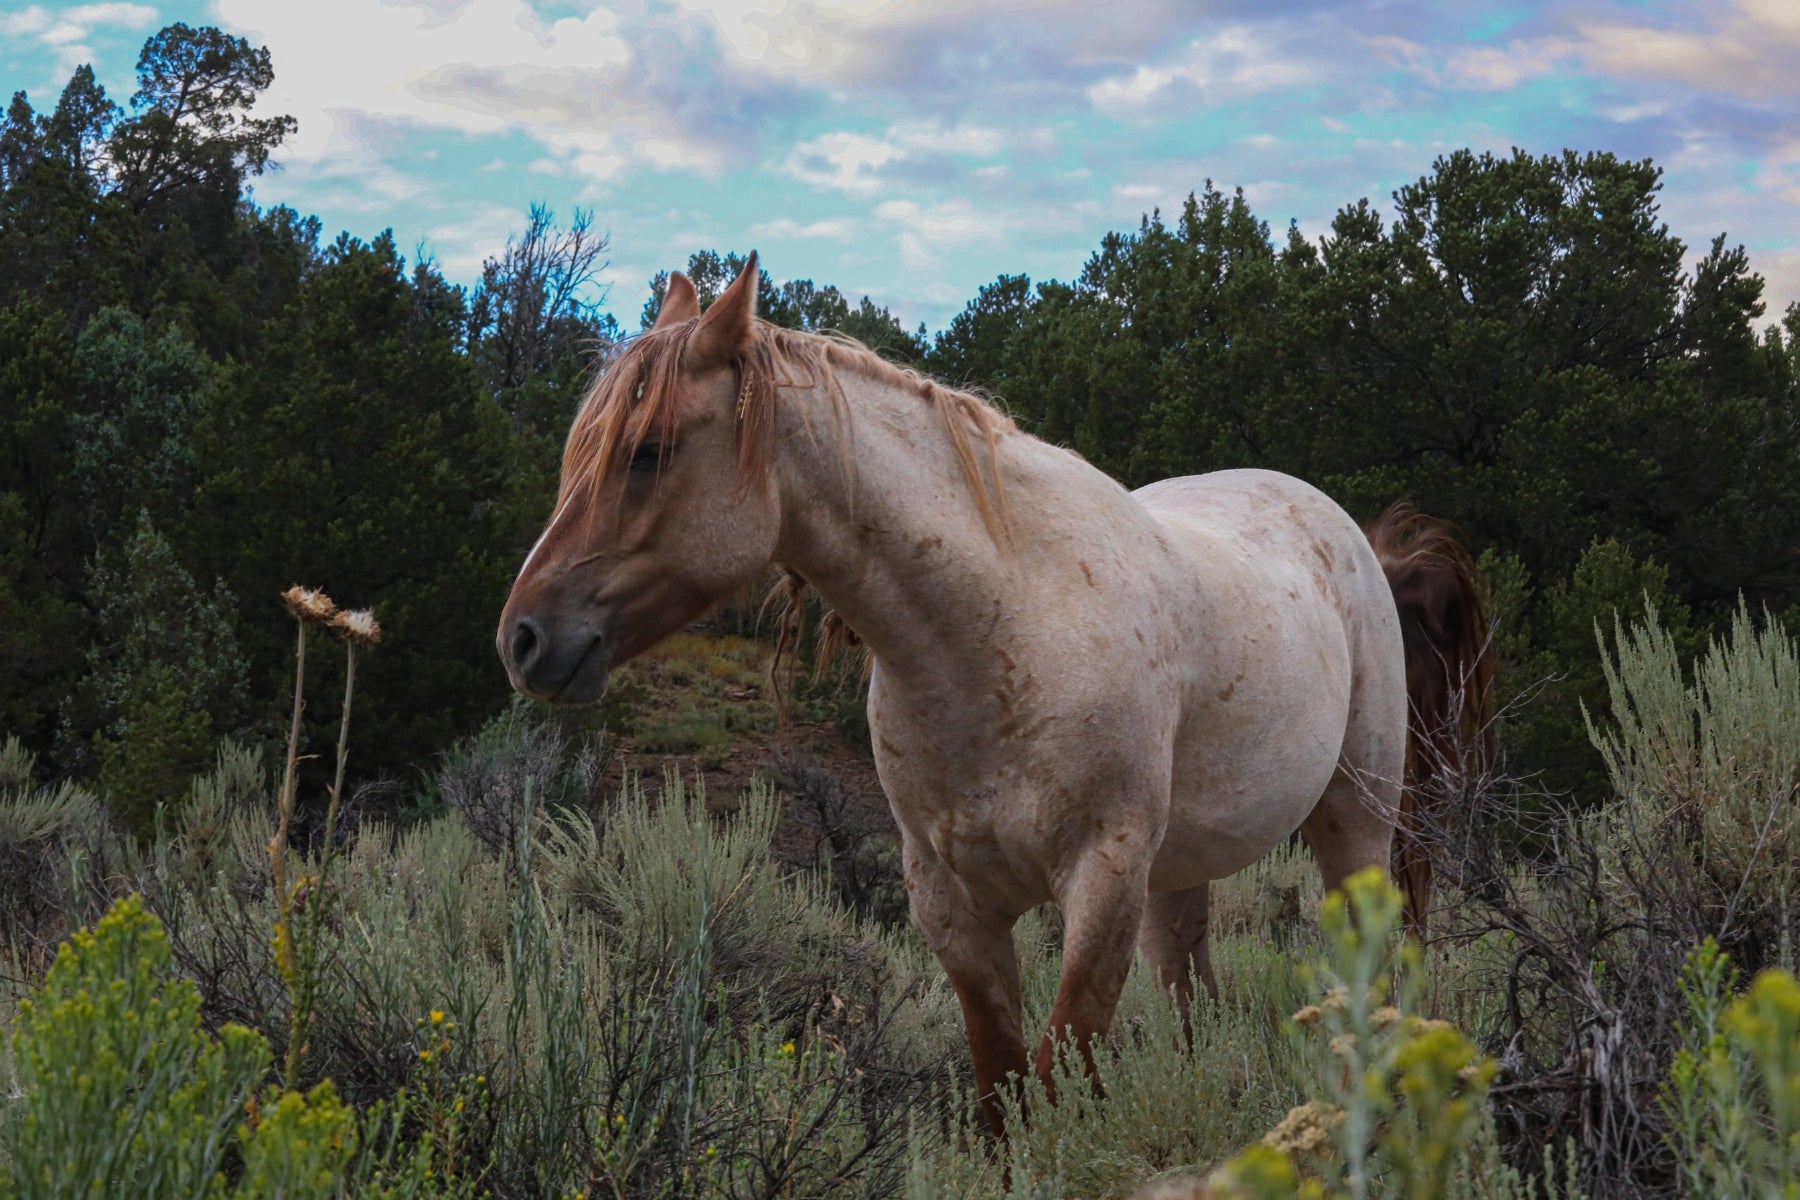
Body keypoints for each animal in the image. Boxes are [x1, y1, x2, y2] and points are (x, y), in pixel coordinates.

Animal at [496, 253, 1490, 1129]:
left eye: (649, 452)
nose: (524, 638)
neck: (1001, 631)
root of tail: (1352, 536)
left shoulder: (1102, 881)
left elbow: (1056, 1080)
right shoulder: (953, 905)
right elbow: (1003, 1099)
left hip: (1356, 825)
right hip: (1182, 869)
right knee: (1193, 999)